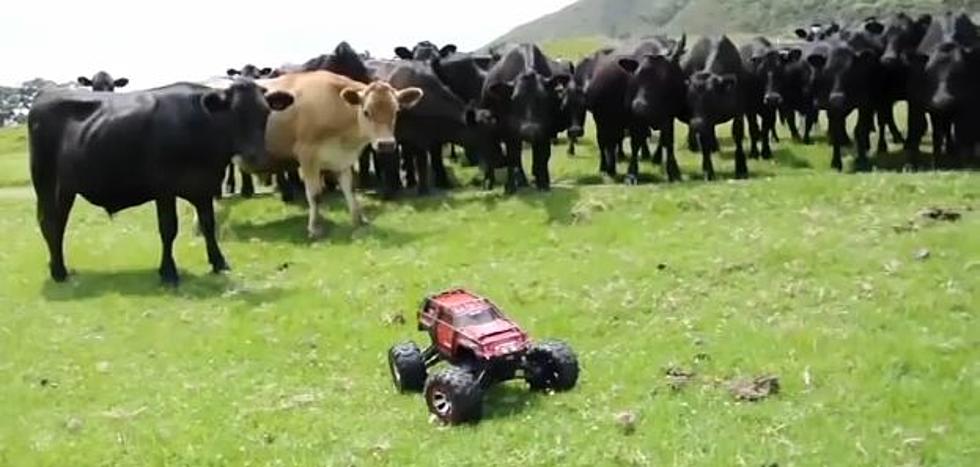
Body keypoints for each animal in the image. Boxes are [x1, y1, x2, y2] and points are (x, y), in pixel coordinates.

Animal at [32, 80, 296, 284]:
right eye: (234, 113)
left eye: (265, 113)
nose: (255, 156)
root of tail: (47, 94)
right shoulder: (164, 189)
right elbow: (168, 229)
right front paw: (168, 272)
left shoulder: (204, 186)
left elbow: (208, 225)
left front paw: (219, 262)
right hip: (45, 182)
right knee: (49, 223)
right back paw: (58, 271)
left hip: (65, 189)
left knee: (58, 224)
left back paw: (57, 266)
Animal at [262, 71, 424, 239]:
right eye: (366, 112)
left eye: (396, 111)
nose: (386, 144)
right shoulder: (307, 156)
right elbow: (314, 195)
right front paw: (315, 228)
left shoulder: (342, 159)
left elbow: (350, 190)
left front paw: (359, 219)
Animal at [480, 42, 568, 192]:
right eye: (514, 99)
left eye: (544, 97)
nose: (529, 131)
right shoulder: (509, 130)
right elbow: (512, 156)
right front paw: (509, 187)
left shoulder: (545, 129)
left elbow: (542, 156)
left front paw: (542, 183)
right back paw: (489, 181)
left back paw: (522, 181)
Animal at [680, 34, 752, 180]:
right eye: (689, 99)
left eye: (710, 99)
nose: (696, 123)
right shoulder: (703, 123)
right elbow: (704, 143)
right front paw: (708, 171)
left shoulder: (739, 112)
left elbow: (738, 135)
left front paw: (741, 168)